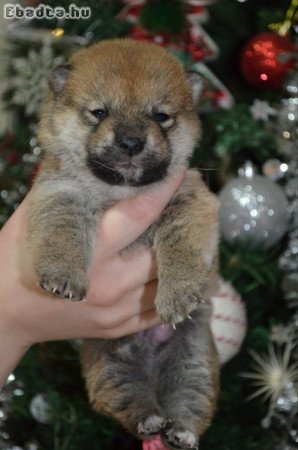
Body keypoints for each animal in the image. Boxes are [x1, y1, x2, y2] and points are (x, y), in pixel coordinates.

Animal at [27, 39, 219, 450]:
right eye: (99, 112)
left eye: (161, 116)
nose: (131, 142)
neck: (120, 190)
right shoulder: (59, 191)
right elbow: (62, 229)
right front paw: (64, 275)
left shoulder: (189, 199)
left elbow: (180, 247)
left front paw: (177, 294)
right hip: (110, 365)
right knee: (131, 401)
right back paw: (150, 421)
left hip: (194, 360)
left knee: (190, 402)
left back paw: (180, 432)